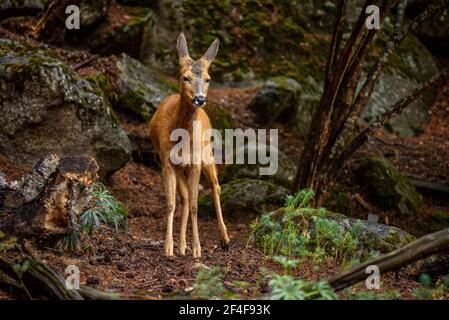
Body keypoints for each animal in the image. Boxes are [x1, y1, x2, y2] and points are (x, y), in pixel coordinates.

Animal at [150, 32, 229, 258]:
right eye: (185, 77)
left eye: (208, 79)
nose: (200, 99)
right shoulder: (166, 161)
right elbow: (171, 203)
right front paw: (169, 247)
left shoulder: (195, 163)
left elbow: (195, 205)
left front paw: (197, 249)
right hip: (179, 167)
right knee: (184, 198)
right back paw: (181, 246)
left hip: (207, 154)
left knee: (215, 186)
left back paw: (225, 240)